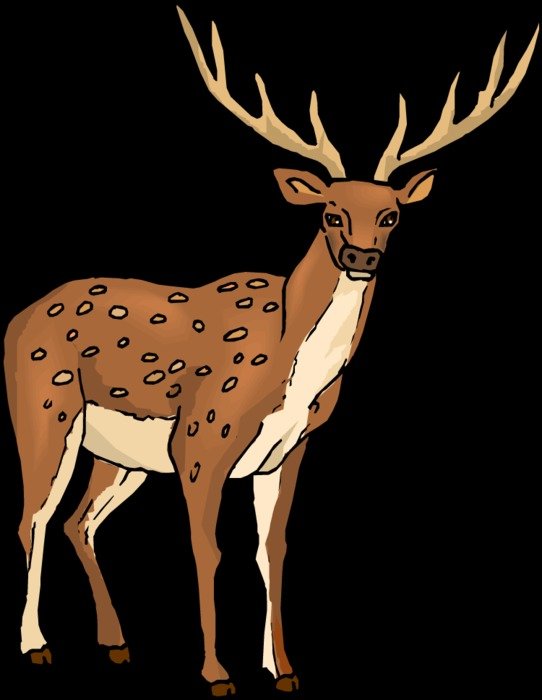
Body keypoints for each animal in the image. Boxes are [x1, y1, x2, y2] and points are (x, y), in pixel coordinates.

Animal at [5, 5, 537, 696]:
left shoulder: (288, 450)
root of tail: (16, 320)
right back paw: (35, 645)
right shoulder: (202, 436)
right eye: (330, 213)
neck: (288, 367)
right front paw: (216, 674)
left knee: (79, 521)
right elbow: (208, 548)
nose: (362, 256)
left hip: (120, 455)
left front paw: (282, 670)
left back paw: (117, 643)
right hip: (45, 411)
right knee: (34, 517)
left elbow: (272, 549)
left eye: (391, 215)